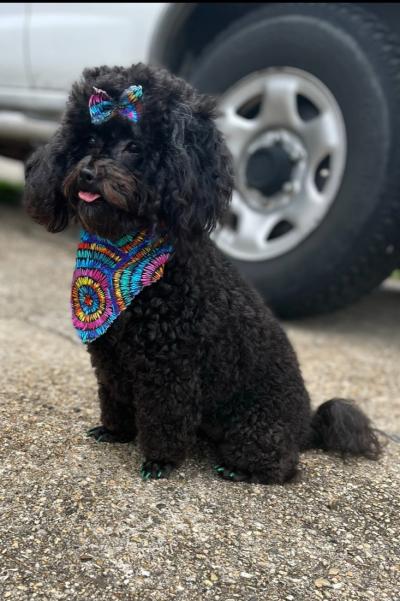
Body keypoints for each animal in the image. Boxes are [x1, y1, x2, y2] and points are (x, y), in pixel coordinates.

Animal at [24, 62, 382, 482]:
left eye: (134, 148)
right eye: (90, 140)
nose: (88, 172)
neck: (123, 255)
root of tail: (306, 426)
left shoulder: (170, 369)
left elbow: (164, 419)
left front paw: (159, 461)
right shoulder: (110, 358)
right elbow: (114, 398)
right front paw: (116, 432)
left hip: (255, 428)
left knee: (283, 466)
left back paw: (240, 471)